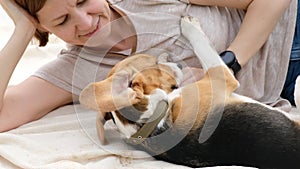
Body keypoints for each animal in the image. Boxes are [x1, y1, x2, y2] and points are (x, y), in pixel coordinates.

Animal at [80, 16, 300, 168]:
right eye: (154, 64)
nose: (178, 64)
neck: (151, 121)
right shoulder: (219, 77)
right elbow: (203, 47)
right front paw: (189, 24)